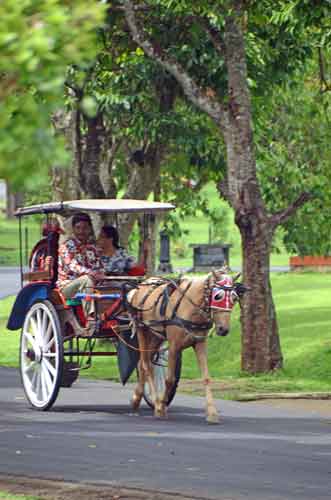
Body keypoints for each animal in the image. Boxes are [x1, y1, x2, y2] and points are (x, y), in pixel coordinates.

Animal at [126, 268, 248, 424]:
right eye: (218, 296)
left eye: (234, 298)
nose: (223, 329)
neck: (190, 308)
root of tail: (141, 285)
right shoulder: (174, 346)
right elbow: (169, 379)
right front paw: (162, 406)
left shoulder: (200, 343)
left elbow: (206, 378)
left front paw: (212, 413)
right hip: (142, 330)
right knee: (146, 365)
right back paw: (156, 403)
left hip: (156, 336)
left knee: (143, 364)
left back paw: (136, 399)